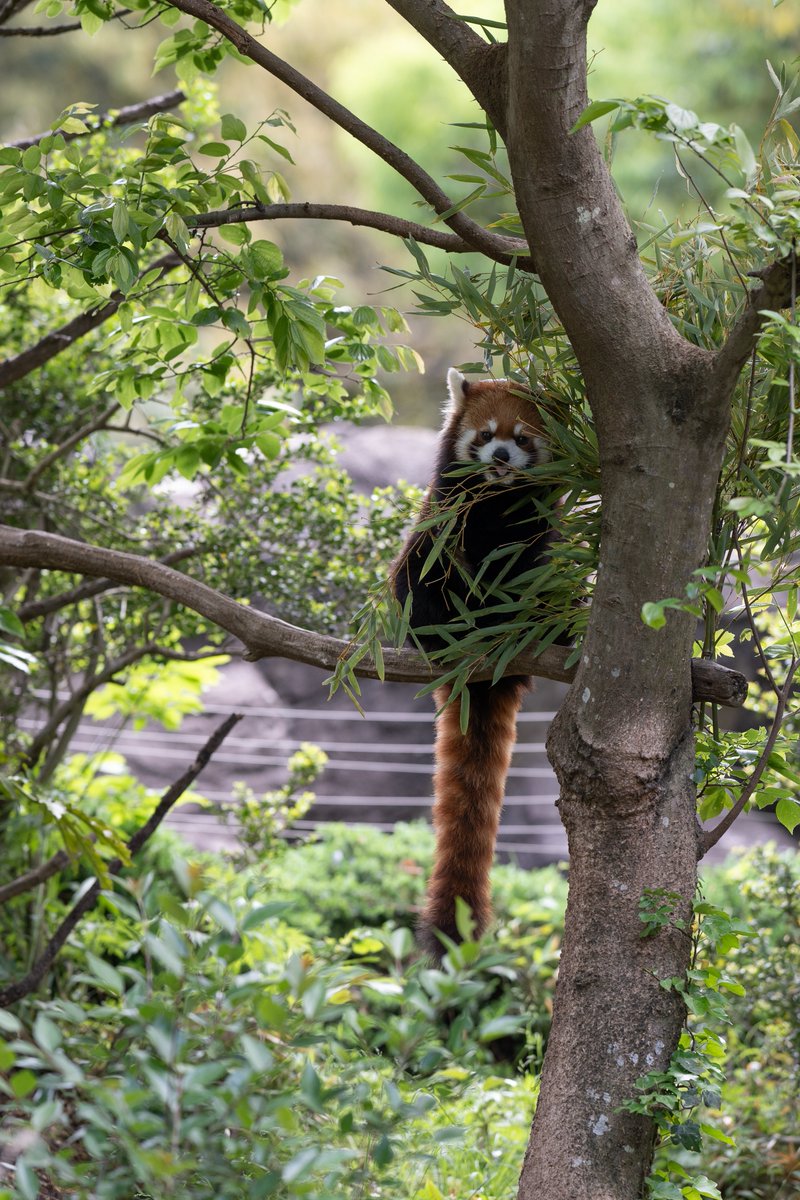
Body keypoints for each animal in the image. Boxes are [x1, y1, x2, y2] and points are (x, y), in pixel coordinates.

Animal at [388, 369, 554, 960]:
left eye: (522, 437)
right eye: (485, 435)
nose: (501, 455)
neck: (496, 499)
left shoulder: (535, 529)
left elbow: (528, 562)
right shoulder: (447, 504)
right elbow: (439, 552)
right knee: (417, 567)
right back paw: (443, 636)